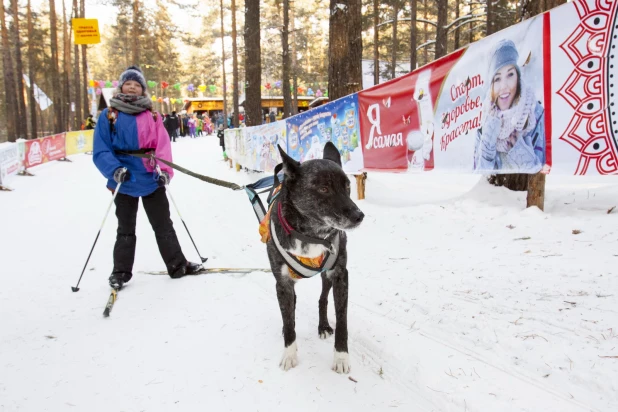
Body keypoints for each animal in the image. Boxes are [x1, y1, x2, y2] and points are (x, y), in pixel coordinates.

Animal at [264, 142, 360, 374]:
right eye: (324, 188)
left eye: (347, 186)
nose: (359, 215)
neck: (311, 233)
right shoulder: (282, 282)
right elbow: (289, 320)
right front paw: (289, 353)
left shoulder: (340, 275)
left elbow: (342, 321)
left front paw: (341, 357)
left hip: (327, 276)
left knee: (322, 299)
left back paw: (323, 325)